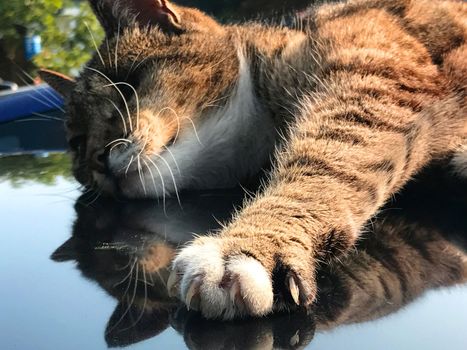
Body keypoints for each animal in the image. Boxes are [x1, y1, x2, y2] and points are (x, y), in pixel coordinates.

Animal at [41, 0, 467, 318]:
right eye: (77, 143)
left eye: (125, 86)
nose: (98, 158)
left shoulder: (375, 79)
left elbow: (325, 161)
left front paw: (247, 247)